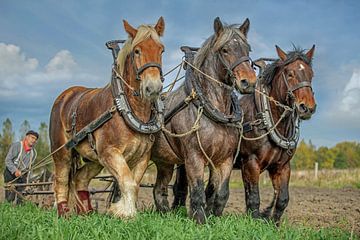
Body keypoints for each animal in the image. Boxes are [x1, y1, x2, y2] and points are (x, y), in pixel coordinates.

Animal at [48, 17, 165, 218]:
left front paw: (119, 209)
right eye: (137, 50)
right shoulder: (110, 152)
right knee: (61, 180)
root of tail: (64, 96)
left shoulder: (143, 157)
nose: (153, 88)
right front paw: (126, 214)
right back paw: (63, 213)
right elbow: (128, 182)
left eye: (161, 50)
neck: (127, 108)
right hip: (62, 151)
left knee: (80, 177)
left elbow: (134, 183)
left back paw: (86, 212)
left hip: (94, 158)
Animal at [150, 17, 258, 224]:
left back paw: (165, 214)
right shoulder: (194, 156)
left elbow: (221, 193)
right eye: (225, 50)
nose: (248, 82)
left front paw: (214, 218)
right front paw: (200, 220)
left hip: (164, 162)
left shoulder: (224, 159)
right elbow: (198, 191)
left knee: (159, 190)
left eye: (248, 49)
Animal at [172, 44, 316, 225]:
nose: (307, 107)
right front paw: (254, 221)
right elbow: (253, 197)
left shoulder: (282, 166)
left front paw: (273, 224)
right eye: (290, 74)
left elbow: (282, 199)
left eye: (311, 74)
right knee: (182, 185)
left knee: (210, 188)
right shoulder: (250, 163)